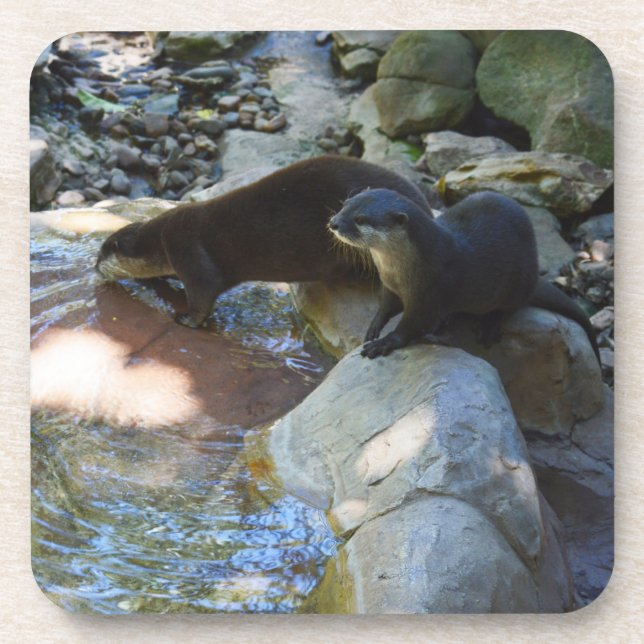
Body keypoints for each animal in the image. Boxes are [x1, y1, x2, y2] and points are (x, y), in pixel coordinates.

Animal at [96, 156, 430, 328]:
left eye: (101, 254)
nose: (95, 268)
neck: (159, 241)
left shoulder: (185, 246)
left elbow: (203, 292)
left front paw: (186, 319)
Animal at [328, 188, 600, 362]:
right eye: (345, 204)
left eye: (360, 219)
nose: (333, 222)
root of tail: (534, 277)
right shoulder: (390, 286)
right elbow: (386, 307)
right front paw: (374, 327)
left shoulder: (431, 293)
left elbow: (411, 325)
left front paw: (385, 343)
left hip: (516, 282)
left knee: (507, 307)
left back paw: (488, 326)